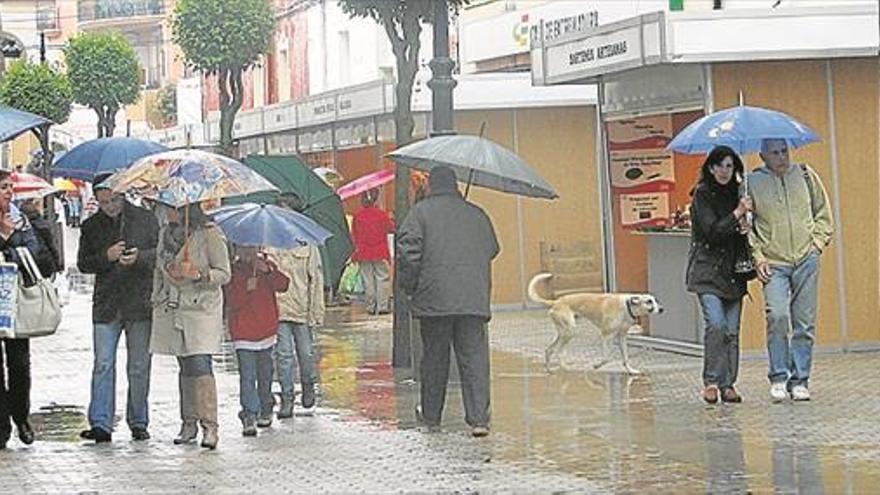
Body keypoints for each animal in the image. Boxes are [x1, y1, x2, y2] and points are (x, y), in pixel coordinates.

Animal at [524, 274, 664, 374]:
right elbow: (606, 357)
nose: (662, 309)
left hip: (563, 332)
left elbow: (625, 357)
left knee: (549, 349)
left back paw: (549, 370)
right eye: (649, 301)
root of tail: (556, 302)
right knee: (558, 351)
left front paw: (630, 370)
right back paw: (564, 367)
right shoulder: (605, 335)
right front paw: (596, 365)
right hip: (569, 332)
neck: (627, 306)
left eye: (655, 300)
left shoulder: (621, 337)